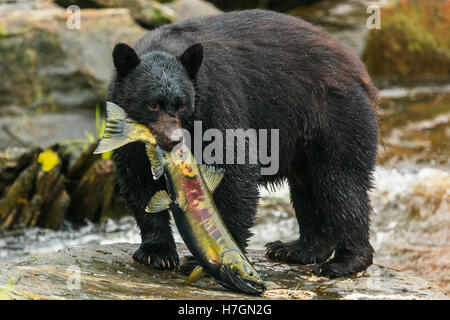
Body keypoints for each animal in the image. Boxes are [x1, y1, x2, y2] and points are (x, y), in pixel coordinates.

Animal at [108, 8, 376, 276]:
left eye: (182, 104)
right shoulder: (125, 124)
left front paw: (214, 255)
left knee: (340, 183)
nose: (172, 140)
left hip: (334, 116)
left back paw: (344, 261)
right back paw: (297, 249)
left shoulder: (215, 100)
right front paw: (157, 253)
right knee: (307, 188)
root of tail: (359, 69)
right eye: (152, 104)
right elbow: (138, 178)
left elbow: (235, 168)